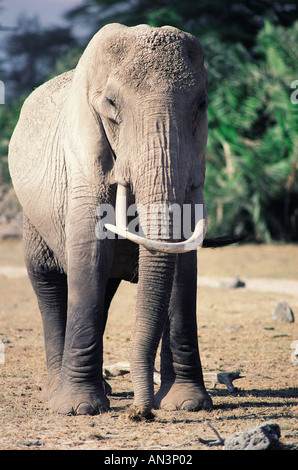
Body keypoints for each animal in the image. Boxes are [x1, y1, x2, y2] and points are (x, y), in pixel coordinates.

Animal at [8, 23, 215, 416]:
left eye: (202, 105)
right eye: (112, 106)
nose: (141, 412)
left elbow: (183, 257)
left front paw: (186, 405)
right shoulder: (82, 161)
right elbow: (90, 251)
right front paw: (78, 409)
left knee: (103, 290)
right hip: (32, 216)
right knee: (48, 281)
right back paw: (55, 392)